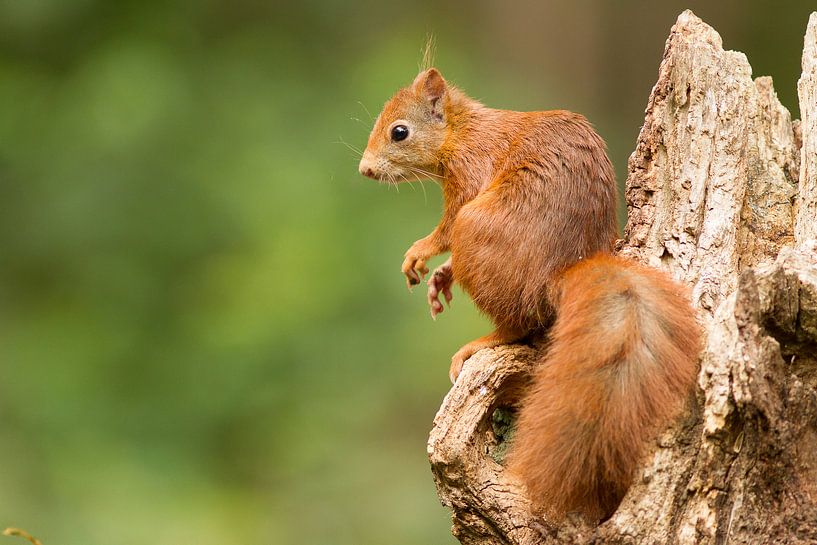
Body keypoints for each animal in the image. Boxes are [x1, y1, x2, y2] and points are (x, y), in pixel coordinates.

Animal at [358, 67, 700, 520]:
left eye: (400, 132)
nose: (364, 169)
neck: (462, 131)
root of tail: (560, 273)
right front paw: (441, 277)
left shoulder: (470, 171)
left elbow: (447, 227)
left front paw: (421, 252)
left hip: (478, 231)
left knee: (516, 325)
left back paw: (479, 343)